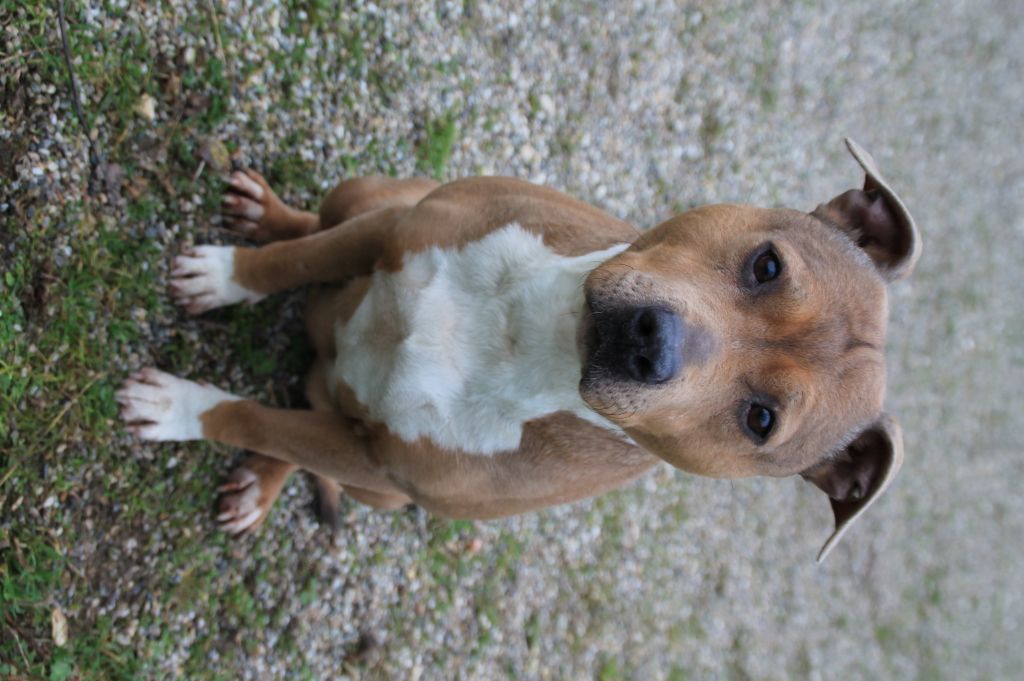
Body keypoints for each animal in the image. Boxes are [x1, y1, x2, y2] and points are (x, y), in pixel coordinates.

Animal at [117, 138, 920, 562]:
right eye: (768, 265)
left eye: (760, 421)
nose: (652, 343)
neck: (531, 335)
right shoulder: (387, 232)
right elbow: (292, 262)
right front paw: (226, 277)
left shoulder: (375, 460)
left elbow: (258, 420)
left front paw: (177, 408)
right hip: (373, 191)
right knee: (316, 227)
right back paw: (268, 217)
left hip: (374, 481)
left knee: (301, 423)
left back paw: (263, 481)